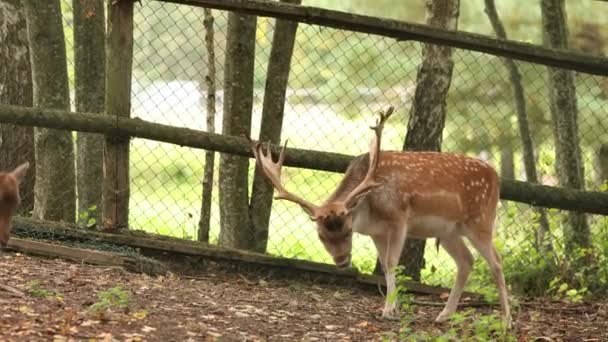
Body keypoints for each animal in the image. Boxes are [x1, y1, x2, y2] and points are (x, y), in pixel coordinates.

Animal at [249, 108, 510, 328]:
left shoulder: (399, 219)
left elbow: (393, 263)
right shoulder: (377, 232)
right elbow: (384, 266)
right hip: (448, 231)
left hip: (481, 220)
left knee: (496, 262)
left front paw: (387, 311)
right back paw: (444, 315)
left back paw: (506, 321)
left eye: (347, 229)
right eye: (321, 235)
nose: (342, 260)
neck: (368, 208)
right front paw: (393, 309)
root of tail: (497, 177)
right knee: (466, 261)